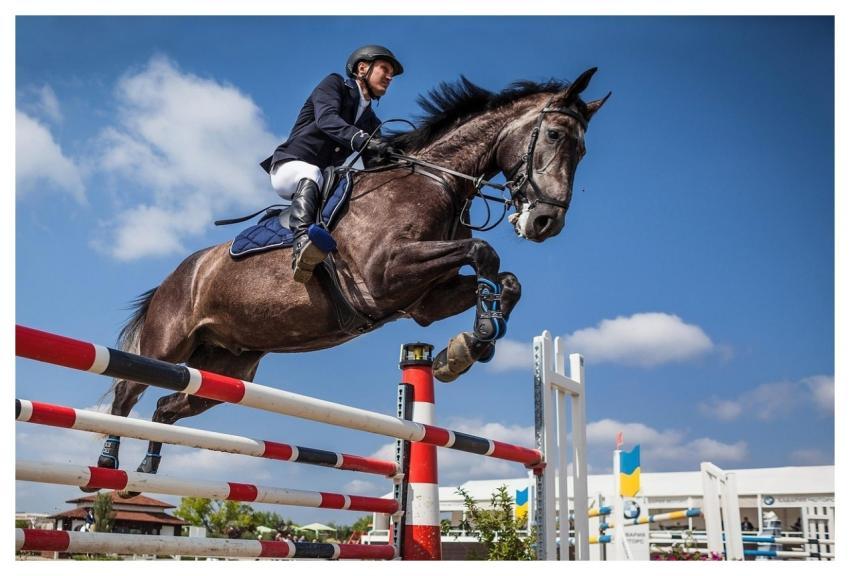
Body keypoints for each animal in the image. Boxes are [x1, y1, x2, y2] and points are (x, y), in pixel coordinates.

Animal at [90, 68, 609, 493]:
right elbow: (486, 251)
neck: (435, 182)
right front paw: (473, 340)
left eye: (583, 149)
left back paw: (146, 470)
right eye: (555, 134)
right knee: (127, 389)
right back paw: (108, 466)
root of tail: (177, 274)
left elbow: (507, 279)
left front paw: (467, 346)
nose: (545, 222)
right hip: (168, 344)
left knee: (168, 405)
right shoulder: (385, 275)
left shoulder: (423, 300)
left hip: (228, 367)